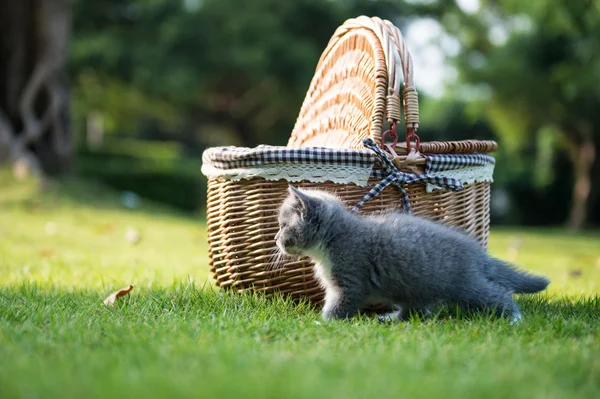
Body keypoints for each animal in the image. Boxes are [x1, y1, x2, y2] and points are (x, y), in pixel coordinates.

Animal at [276, 187, 548, 324]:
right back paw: (391, 318)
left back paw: (514, 318)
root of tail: (478, 255)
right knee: (415, 311)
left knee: (496, 294)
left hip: (465, 285)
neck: (335, 237)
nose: (277, 239)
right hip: (412, 287)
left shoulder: (350, 281)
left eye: (282, 225)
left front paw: (323, 323)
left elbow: (339, 306)